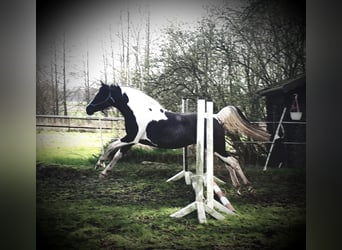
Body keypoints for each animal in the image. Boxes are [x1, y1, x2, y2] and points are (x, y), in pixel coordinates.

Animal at [85, 83, 270, 196]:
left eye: (101, 94)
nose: (88, 109)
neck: (138, 112)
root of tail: (216, 117)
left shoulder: (131, 138)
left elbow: (111, 146)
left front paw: (99, 164)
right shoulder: (131, 141)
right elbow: (118, 155)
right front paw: (104, 173)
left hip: (217, 147)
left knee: (234, 161)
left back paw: (248, 187)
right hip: (214, 148)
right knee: (229, 163)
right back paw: (238, 188)